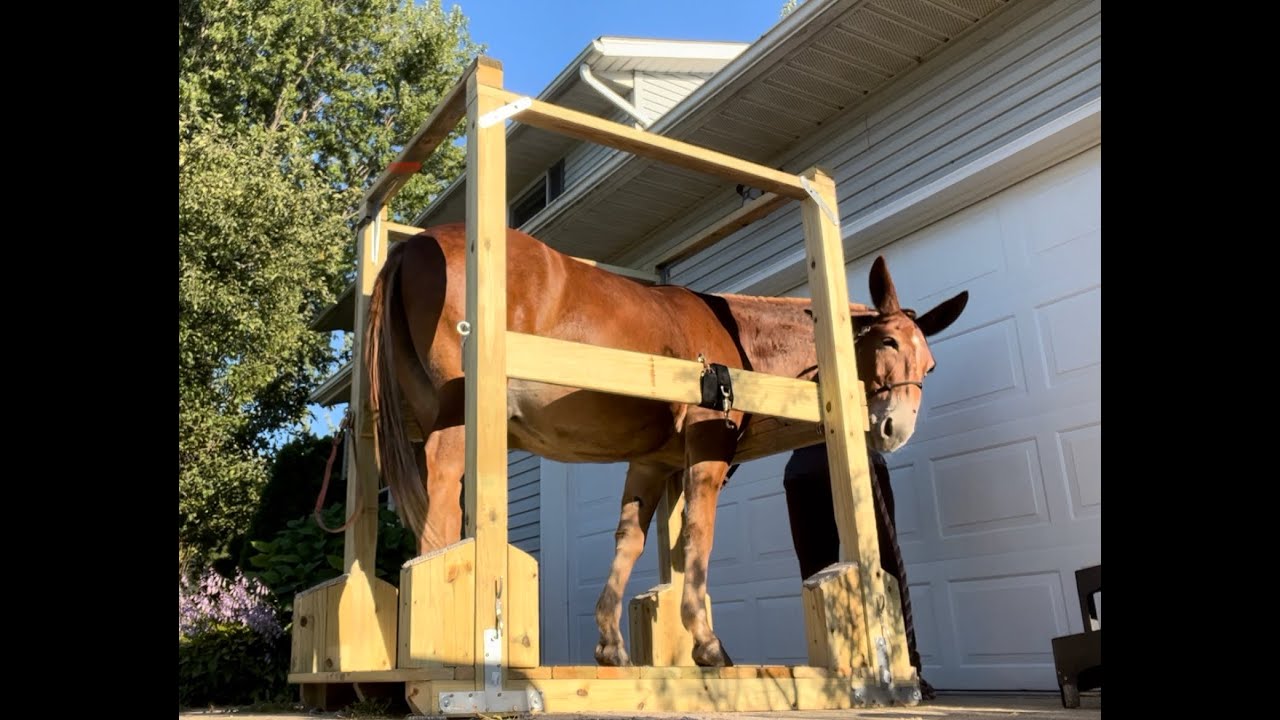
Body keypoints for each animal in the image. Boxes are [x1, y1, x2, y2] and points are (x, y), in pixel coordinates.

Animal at [365, 222, 968, 667]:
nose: (895, 429)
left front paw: (611, 644)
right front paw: (707, 643)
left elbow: (630, 541)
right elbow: (698, 537)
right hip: (454, 419)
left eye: (931, 365)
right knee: (441, 504)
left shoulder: (652, 464)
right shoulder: (707, 449)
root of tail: (414, 246)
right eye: (887, 342)